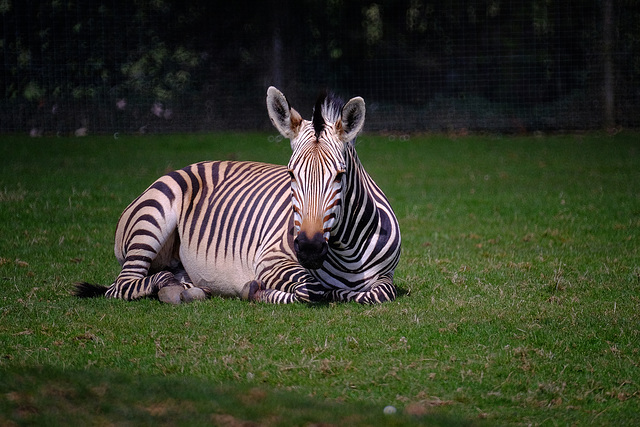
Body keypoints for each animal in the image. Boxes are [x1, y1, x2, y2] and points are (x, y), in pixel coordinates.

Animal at [74, 88, 400, 304]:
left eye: (340, 176)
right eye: (291, 174)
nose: (308, 248)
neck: (348, 253)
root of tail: (188, 165)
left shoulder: (388, 276)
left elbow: (379, 293)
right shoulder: (270, 260)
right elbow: (316, 290)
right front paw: (258, 291)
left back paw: (187, 289)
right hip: (151, 218)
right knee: (122, 285)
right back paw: (167, 286)